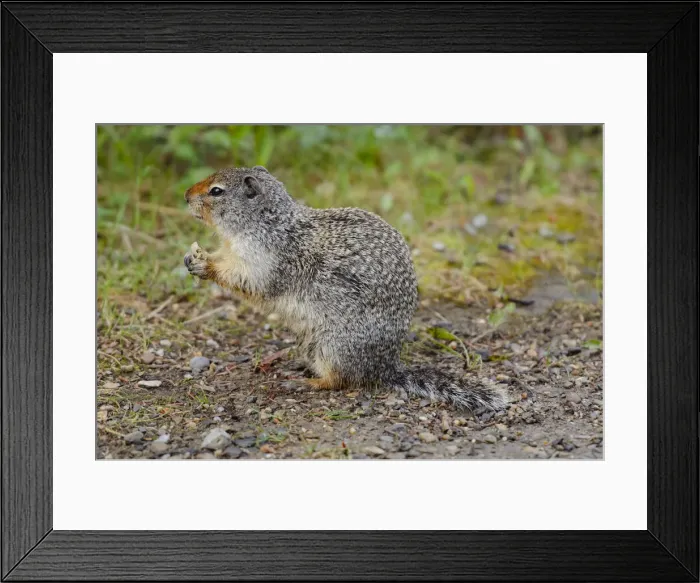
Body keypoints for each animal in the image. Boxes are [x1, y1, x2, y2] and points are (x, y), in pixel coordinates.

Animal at [184, 166, 506, 411]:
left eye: (216, 191)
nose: (185, 196)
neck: (264, 222)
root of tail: (386, 366)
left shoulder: (267, 259)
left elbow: (248, 280)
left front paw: (206, 266)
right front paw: (193, 257)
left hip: (335, 345)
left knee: (341, 380)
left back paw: (307, 382)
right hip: (312, 343)